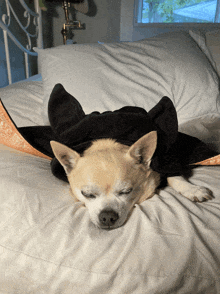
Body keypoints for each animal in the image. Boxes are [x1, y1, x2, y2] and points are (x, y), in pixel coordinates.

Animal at [50, 131, 213, 230]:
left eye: (126, 191)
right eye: (87, 194)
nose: (107, 216)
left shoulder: (163, 163)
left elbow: (174, 176)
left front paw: (192, 189)